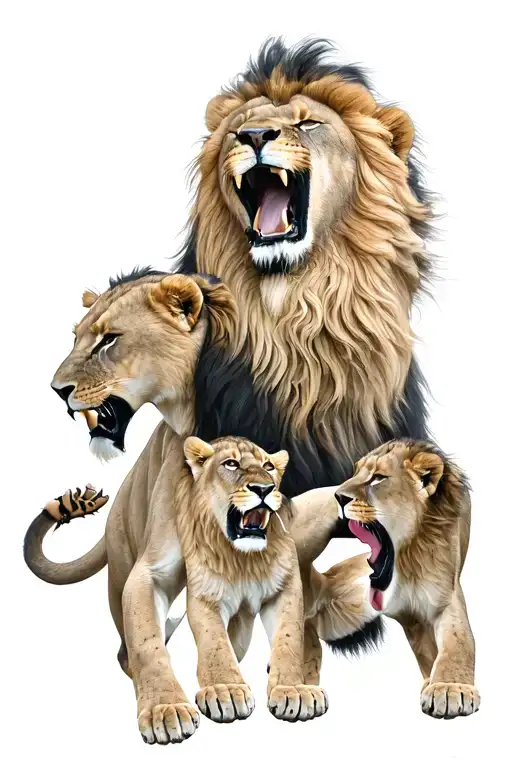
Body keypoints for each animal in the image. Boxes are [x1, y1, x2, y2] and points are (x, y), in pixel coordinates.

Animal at [176, 435, 328, 724]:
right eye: (231, 464)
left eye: (268, 466)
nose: (264, 489)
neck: (244, 561)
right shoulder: (205, 595)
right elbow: (215, 644)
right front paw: (225, 690)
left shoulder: (285, 588)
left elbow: (288, 641)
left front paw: (293, 690)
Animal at [308, 439, 480, 719]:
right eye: (355, 473)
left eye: (378, 478)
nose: (338, 496)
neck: (410, 559)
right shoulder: (409, 618)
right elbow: (427, 652)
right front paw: (435, 684)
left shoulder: (446, 596)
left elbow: (458, 643)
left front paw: (449, 688)